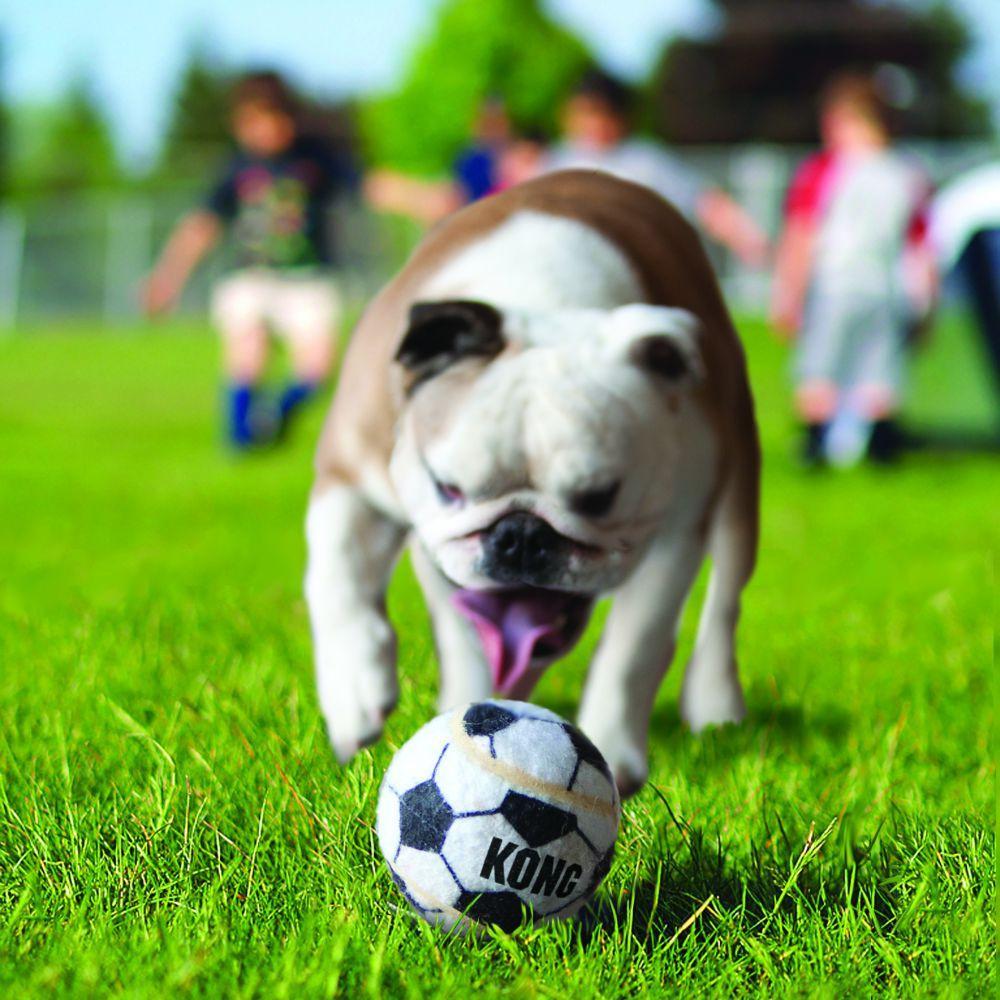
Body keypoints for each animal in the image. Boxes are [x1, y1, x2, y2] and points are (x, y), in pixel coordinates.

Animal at [304, 172, 756, 796]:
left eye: (599, 498)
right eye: (448, 488)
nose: (520, 535)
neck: (547, 310)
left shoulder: (677, 531)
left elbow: (634, 646)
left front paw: (611, 748)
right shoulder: (350, 476)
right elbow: (337, 575)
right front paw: (354, 690)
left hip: (738, 490)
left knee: (725, 601)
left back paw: (717, 705)